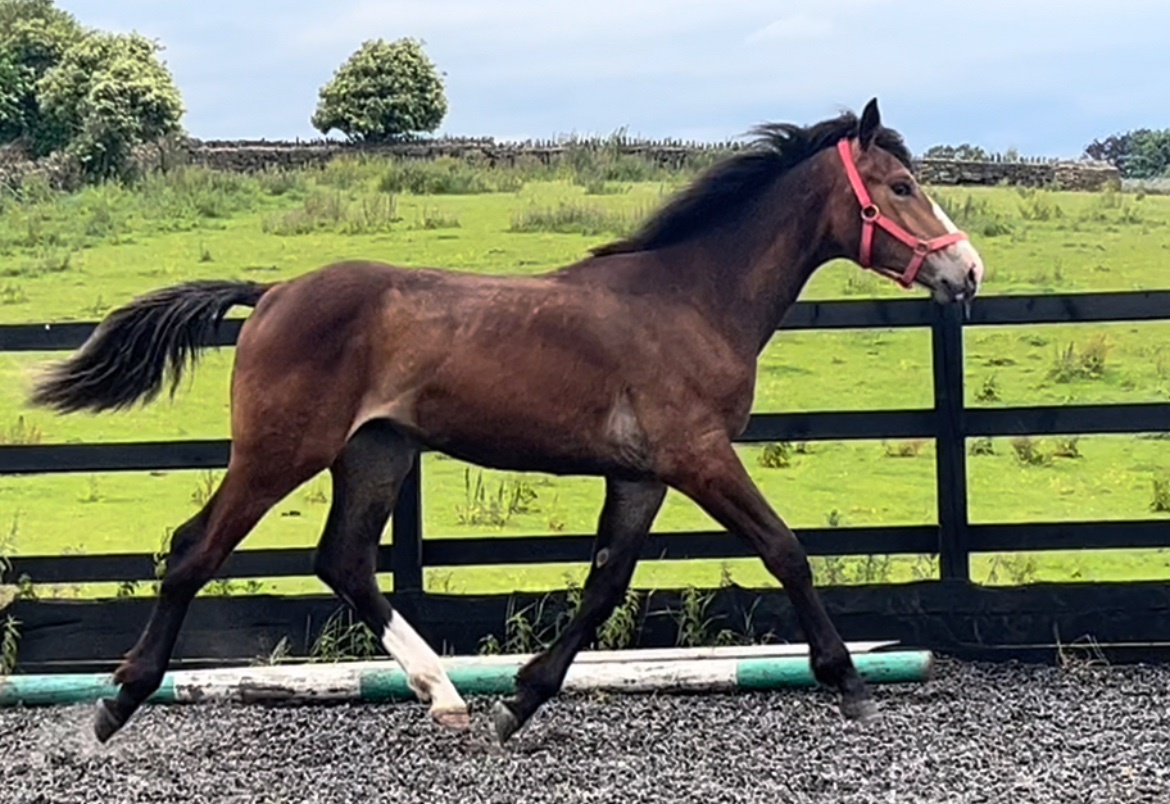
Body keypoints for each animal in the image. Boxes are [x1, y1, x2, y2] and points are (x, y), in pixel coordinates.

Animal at [27, 98, 984, 746]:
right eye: (903, 186)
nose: (967, 271)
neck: (690, 299)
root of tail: (271, 294)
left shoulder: (640, 474)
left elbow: (604, 585)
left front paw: (519, 702)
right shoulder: (699, 456)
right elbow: (785, 549)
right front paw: (847, 681)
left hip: (376, 453)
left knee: (343, 560)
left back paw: (446, 696)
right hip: (280, 451)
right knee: (195, 550)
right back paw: (115, 703)